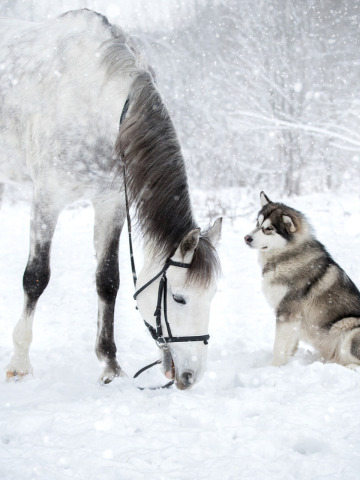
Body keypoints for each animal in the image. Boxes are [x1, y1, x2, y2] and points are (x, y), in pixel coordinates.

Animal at [0, 9, 222, 390]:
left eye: (211, 296)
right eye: (179, 297)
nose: (191, 376)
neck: (95, 98)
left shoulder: (111, 203)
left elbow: (108, 281)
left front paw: (110, 365)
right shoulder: (48, 198)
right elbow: (36, 277)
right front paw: (19, 363)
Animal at [245, 191, 360, 368]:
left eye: (269, 229)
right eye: (257, 223)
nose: (246, 238)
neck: (287, 255)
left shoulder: (287, 311)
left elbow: (279, 346)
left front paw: (274, 367)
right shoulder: (292, 319)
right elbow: (290, 344)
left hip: (348, 326)